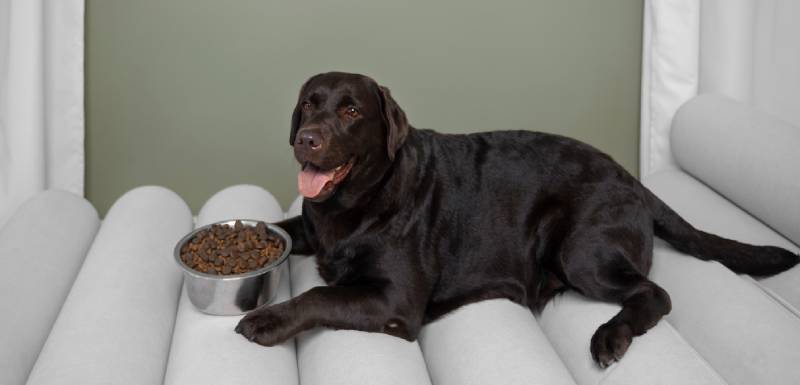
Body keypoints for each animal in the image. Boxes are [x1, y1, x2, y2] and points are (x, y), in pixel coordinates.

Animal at [234, 71, 796, 366]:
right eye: (309, 103)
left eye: (352, 111)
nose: (306, 138)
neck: (355, 203)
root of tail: (634, 179)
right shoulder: (311, 229)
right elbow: (281, 229)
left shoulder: (393, 300)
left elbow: (320, 295)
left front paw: (268, 319)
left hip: (579, 250)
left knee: (654, 292)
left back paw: (610, 337)